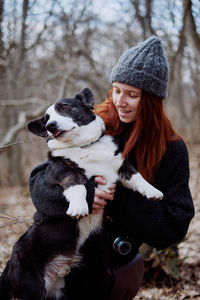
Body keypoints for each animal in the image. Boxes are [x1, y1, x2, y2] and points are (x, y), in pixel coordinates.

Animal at [0, 87, 162, 300]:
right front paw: (79, 207)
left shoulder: (121, 165)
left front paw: (154, 192)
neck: (85, 146)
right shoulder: (61, 171)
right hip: (31, 287)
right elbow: (78, 185)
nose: (50, 126)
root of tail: (9, 265)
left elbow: (137, 177)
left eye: (64, 107)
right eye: (46, 119)